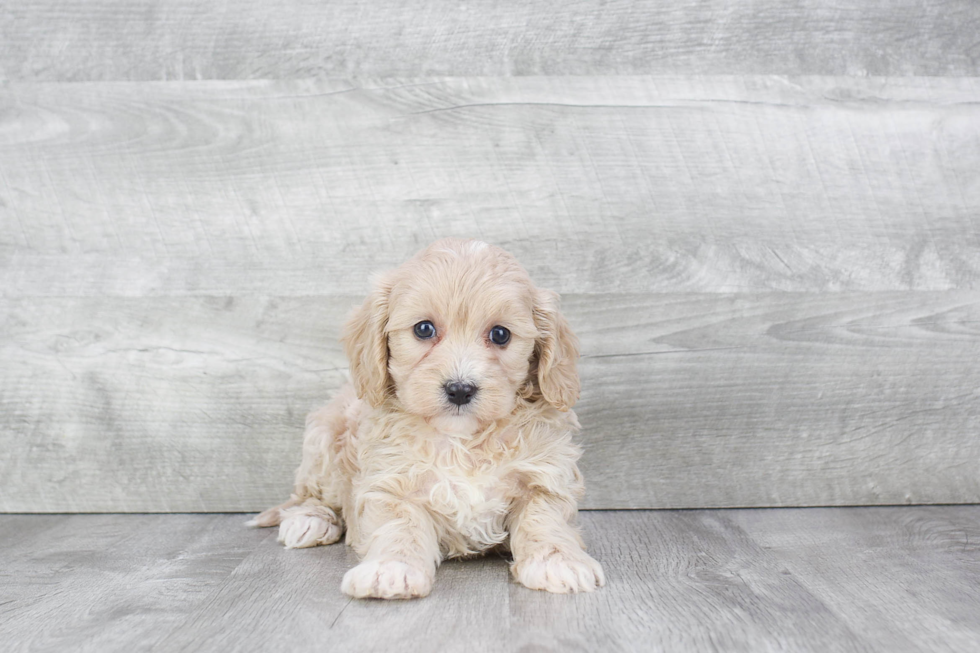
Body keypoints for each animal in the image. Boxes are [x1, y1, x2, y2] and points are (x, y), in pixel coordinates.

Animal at [251, 237, 604, 600]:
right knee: (308, 495)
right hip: (323, 438)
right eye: (424, 329)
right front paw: (391, 568)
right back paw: (309, 520)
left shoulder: (545, 476)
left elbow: (544, 519)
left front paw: (557, 561)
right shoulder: (389, 483)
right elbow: (399, 527)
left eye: (501, 335)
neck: (462, 441)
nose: (460, 389)